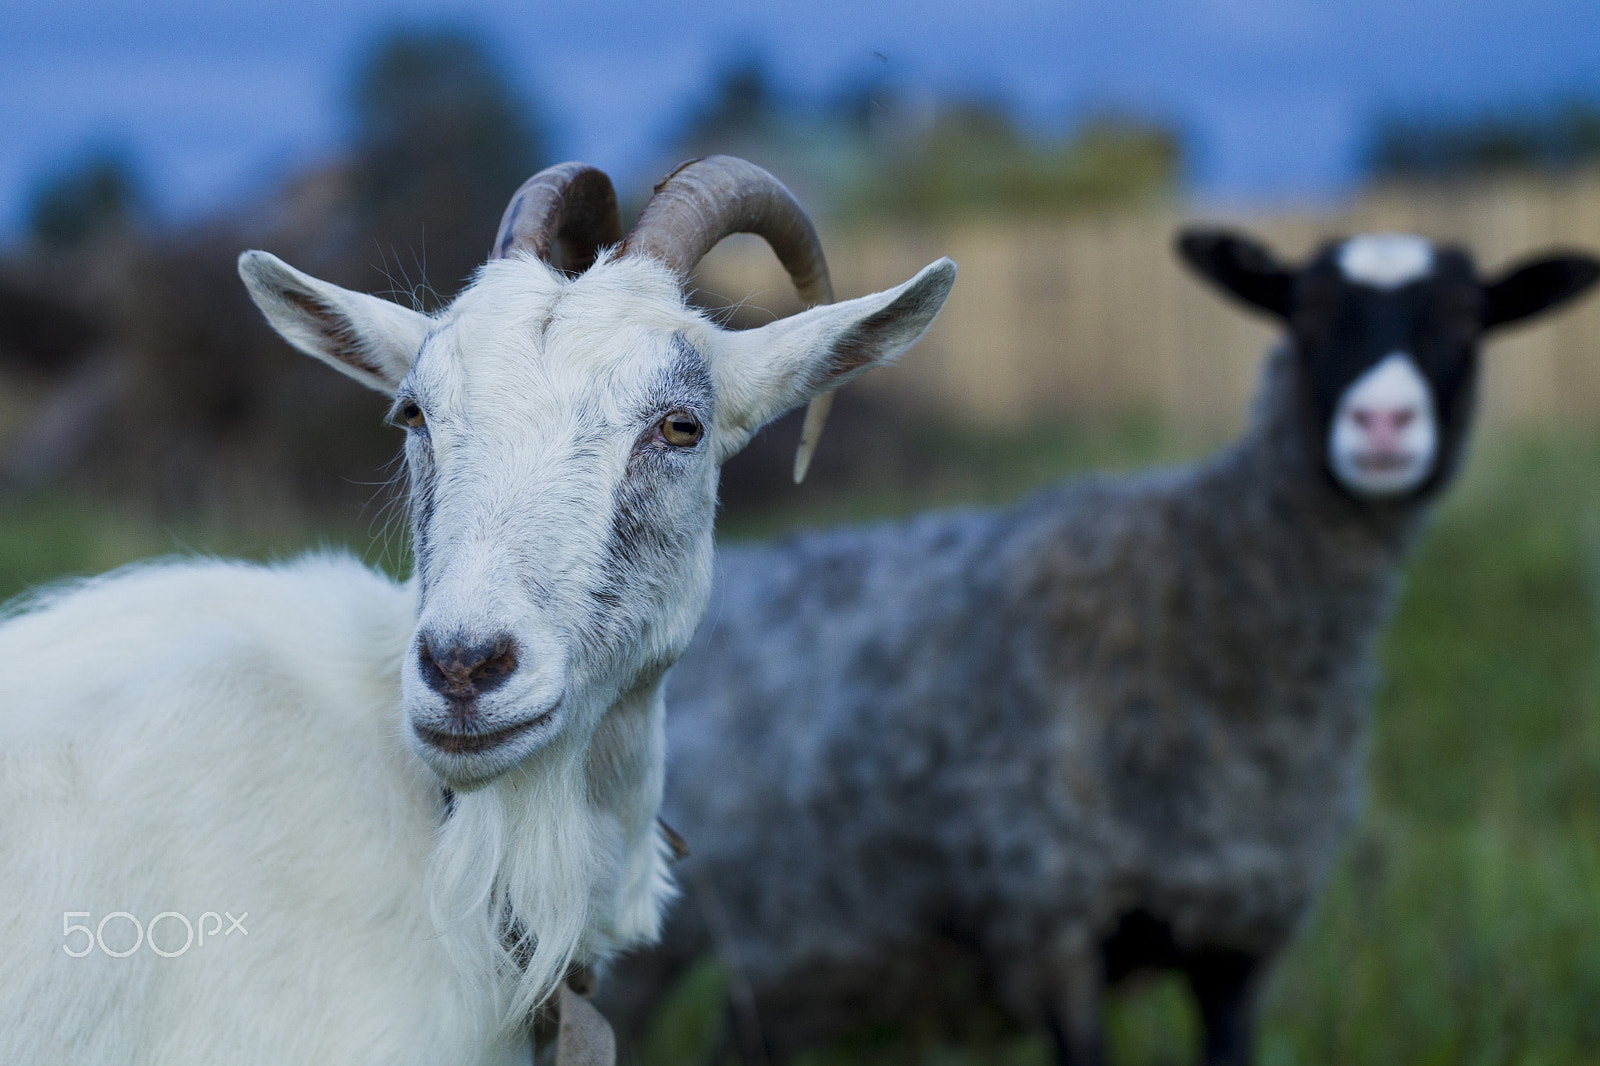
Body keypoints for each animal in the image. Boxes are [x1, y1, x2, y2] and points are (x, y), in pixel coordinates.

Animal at [607, 230, 1600, 1066]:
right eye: (1306, 312)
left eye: (1466, 323)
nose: (1383, 428)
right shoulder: (1050, 922)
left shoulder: (1239, 935)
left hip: (790, 959)